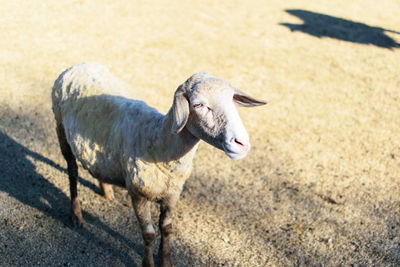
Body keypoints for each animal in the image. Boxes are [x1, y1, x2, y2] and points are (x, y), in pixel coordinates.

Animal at [52, 61, 266, 266]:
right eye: (199, 104)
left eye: (232, 101)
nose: (242, 144)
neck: (158, 140)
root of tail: (78, 66)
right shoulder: (137, 193)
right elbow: (148, 234)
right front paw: (148, 263)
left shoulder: (172, 193)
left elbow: (167, 228)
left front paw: (166, 260)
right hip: (60, 129)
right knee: (72, 172)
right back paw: (76, 216)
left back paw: (107, 192)